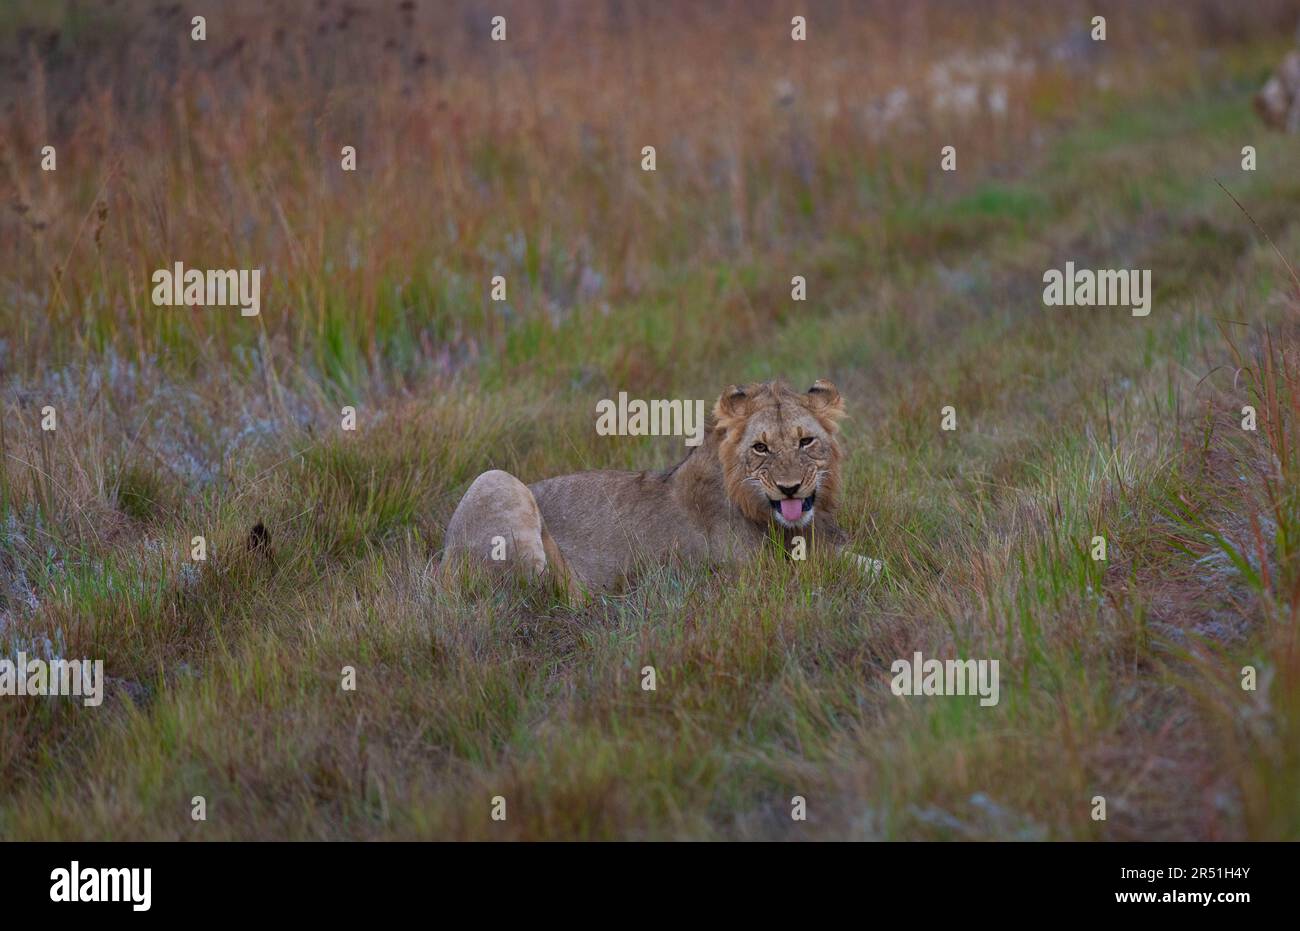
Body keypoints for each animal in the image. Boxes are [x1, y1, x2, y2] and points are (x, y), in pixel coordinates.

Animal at [439, 379, 883, 592]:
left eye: (805, 441)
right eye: (760, 448)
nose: (790, 488)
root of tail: (436, 568)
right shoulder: (748, 573)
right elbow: (826, 569)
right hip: (494, 480)